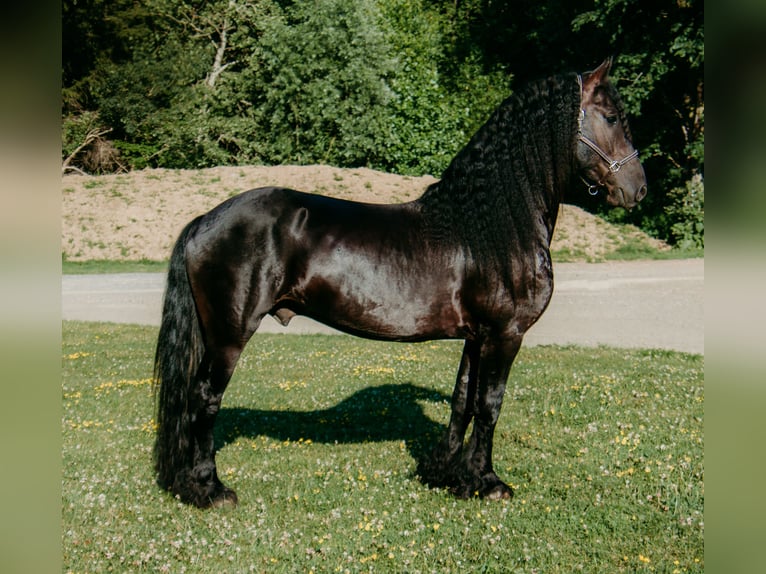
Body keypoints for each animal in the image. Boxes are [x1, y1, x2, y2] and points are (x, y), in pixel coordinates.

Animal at [153, 58, 647, 508]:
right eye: (611, 117)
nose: (638, 189)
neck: (490, 225)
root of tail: (204, 220)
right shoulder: (505, 334)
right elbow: (490, 404)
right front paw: (488, 482)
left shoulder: (477, 336)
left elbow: (463, 400)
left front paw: (447, 475)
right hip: (228, 337)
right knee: (204, 400)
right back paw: (209, 489)